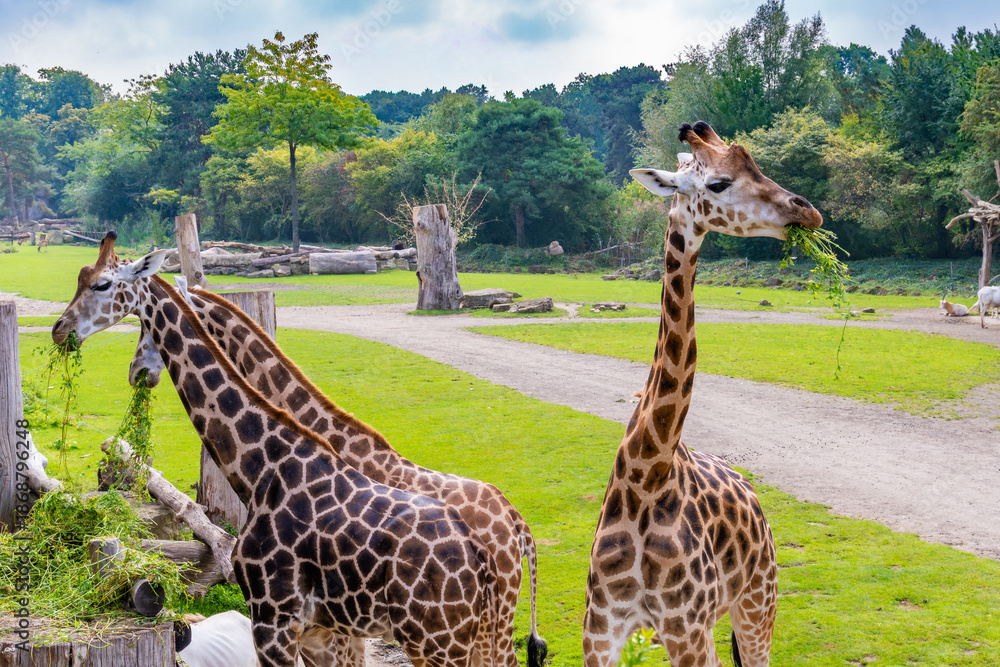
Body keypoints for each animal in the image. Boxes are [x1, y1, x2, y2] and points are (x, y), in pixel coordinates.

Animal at [582, 121, 824, 667]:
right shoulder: (601, 632)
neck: (646, 477)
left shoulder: (688, 629)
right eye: (717, 183)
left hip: (757, 602)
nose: (807, 210)